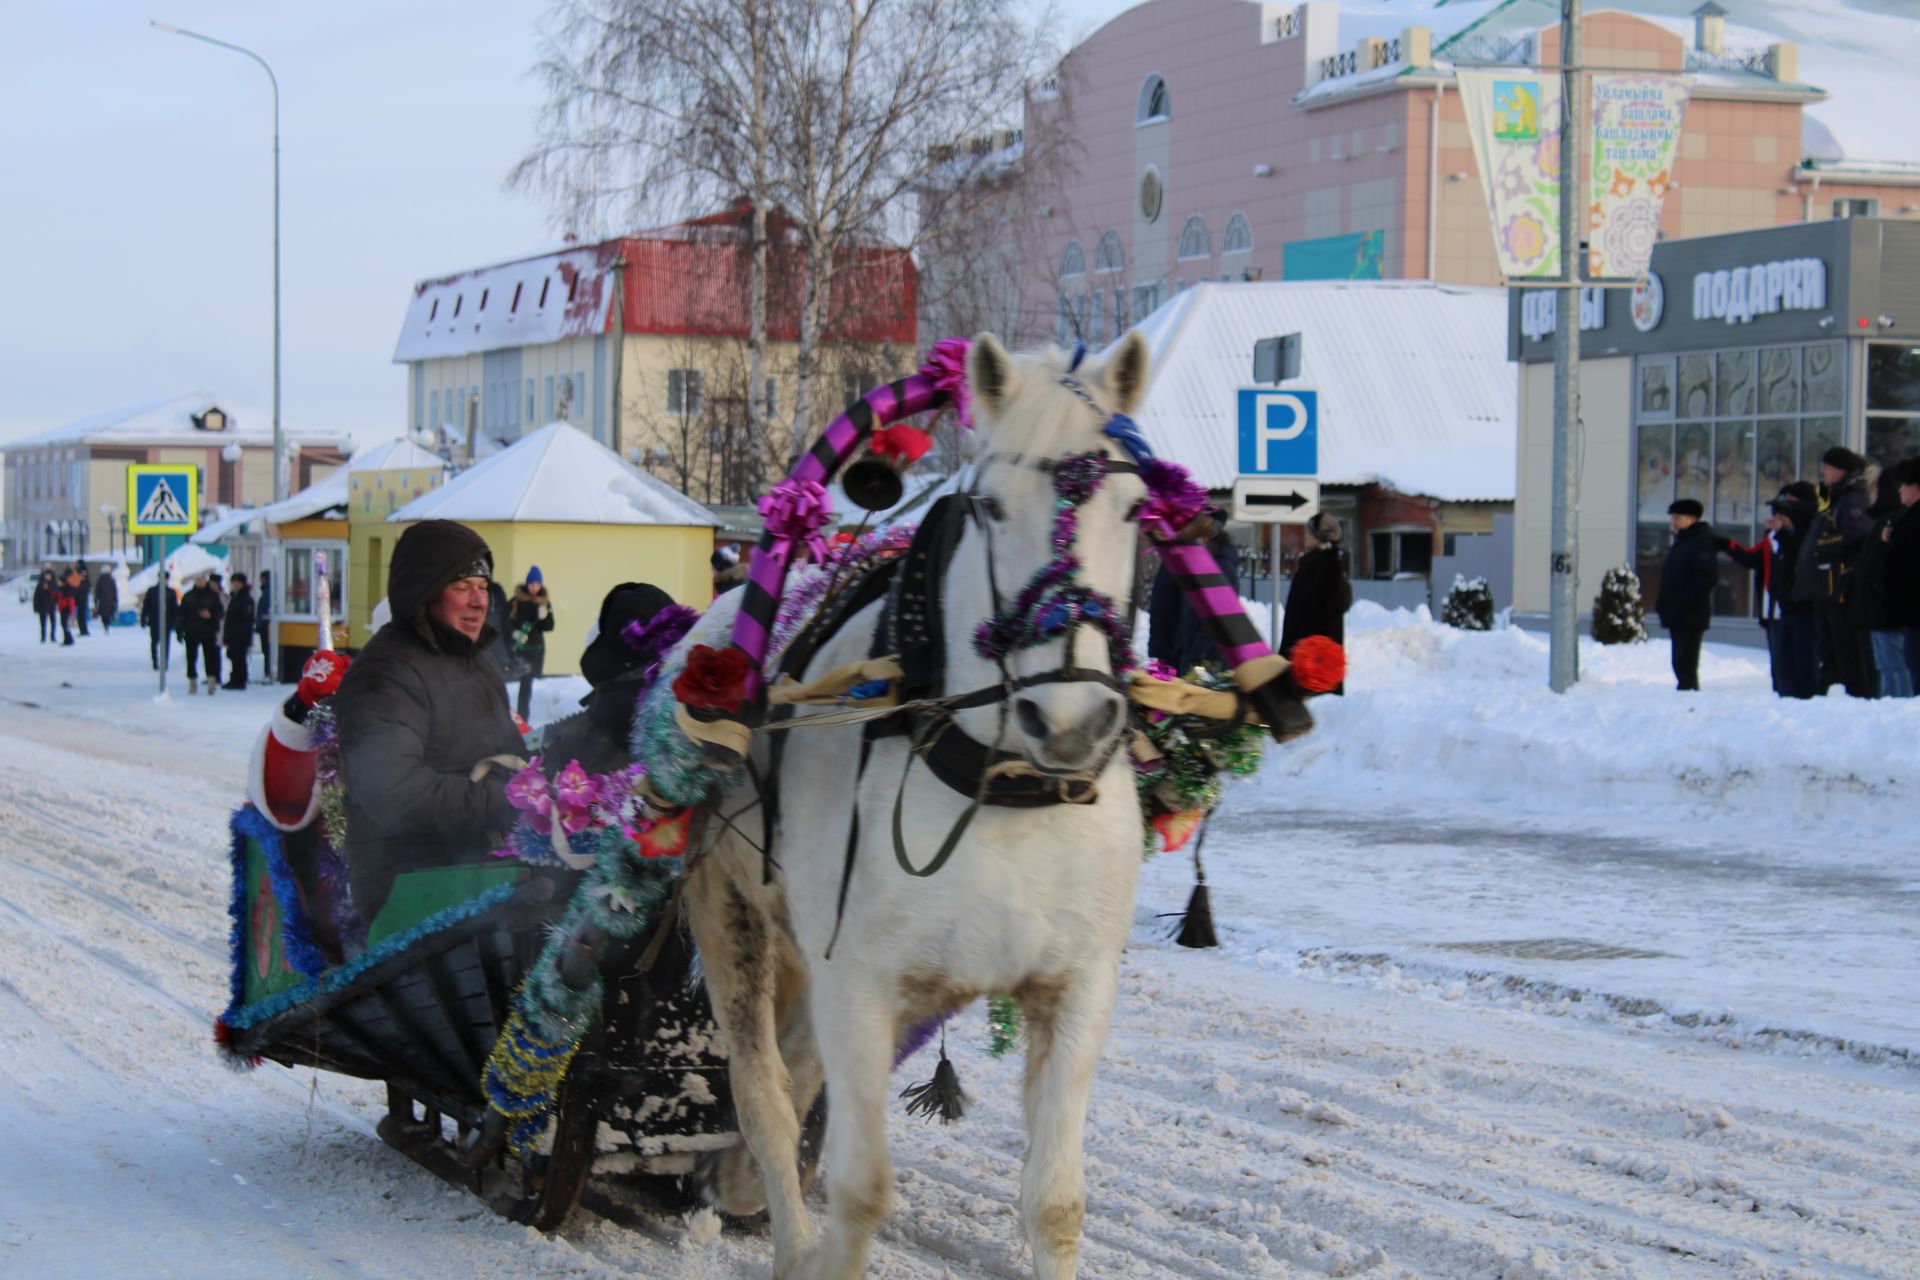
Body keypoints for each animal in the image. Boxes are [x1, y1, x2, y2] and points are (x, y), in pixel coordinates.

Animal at [679, 333, 1144, 1280]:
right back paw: (781, 1227)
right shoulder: (858, 981)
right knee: (766, 1091)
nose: (1071, 720)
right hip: (730, 909)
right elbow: (861, 1189)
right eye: (991, 508)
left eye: (1134, 508)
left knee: (796, 1069)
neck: (1005, 792)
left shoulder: (1076, 983)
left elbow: (1056, 1203)